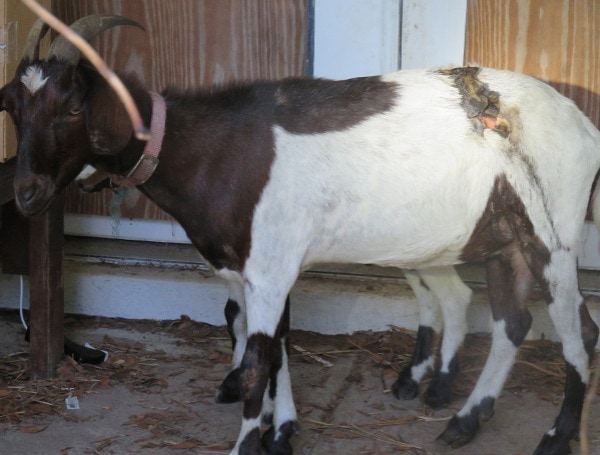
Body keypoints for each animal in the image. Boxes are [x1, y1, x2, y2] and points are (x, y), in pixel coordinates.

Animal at [4, 14, 600, 455]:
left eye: (73, 106)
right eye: (13, 106)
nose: (27, 194)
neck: (212, 152)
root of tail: (583, 124)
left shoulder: (269, 267)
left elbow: (256, 363)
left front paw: (249, 443)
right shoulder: (249, 270)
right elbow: (271, 348)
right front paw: (282, 429)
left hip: (555, 233)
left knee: (578, 332)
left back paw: (554, 436)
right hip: (496, 239)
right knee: (507, 319)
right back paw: (463, 416)